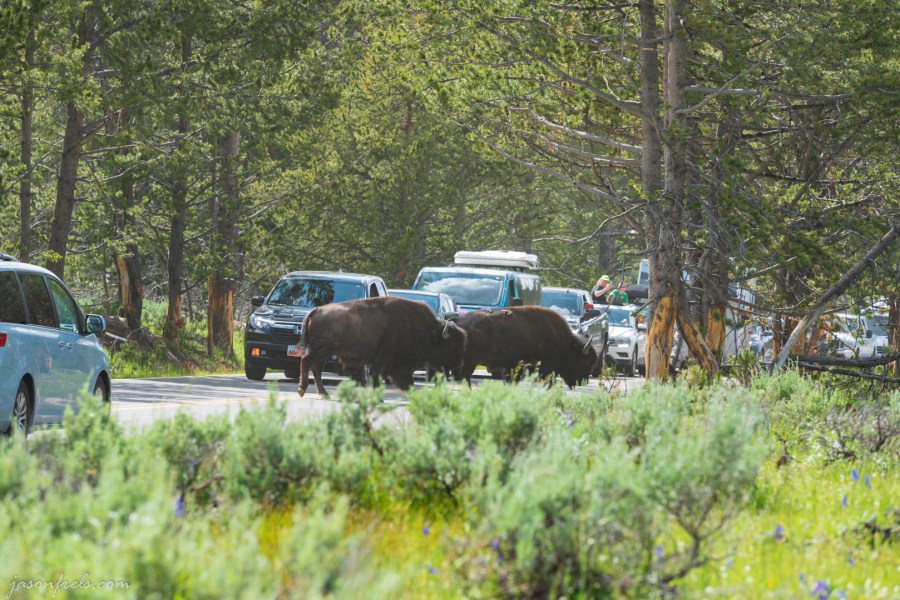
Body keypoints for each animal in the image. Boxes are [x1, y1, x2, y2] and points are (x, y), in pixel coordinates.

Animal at [297, 295, 467, 397]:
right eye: (452, 344)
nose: (459, 364)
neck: (426, 331)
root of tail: (316, 310)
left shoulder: (398, 366)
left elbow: (406, 382)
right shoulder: (385, 359)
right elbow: (377, 376)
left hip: (325, 351)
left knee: (316, 367)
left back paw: (323, 393)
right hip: (320, 349)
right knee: (307, 362)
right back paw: (302, 390)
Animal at [453, 306, 598, 388]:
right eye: (586, 362)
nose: (582, 382)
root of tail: (458, 321)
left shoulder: (512, 368)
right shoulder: (546, 368)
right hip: (470, 362)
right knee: (465, 378)